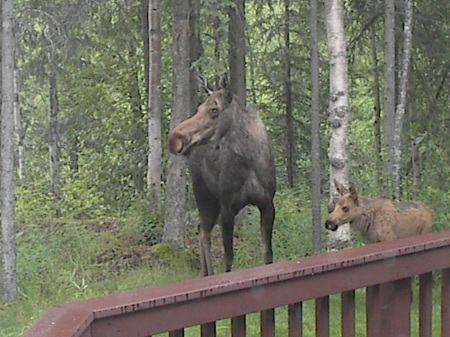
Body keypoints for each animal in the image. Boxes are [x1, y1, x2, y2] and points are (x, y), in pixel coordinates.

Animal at [168, 73, 276, 276]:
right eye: (198, 108)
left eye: (214, 110)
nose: (175, 138)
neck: (248, 160)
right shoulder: (228, 208)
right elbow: (228, 260)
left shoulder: (267, 204)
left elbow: (267, 254)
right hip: (203, 195)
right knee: (204, 233)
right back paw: (208, 273)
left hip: (213, 202)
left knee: (201, 229)